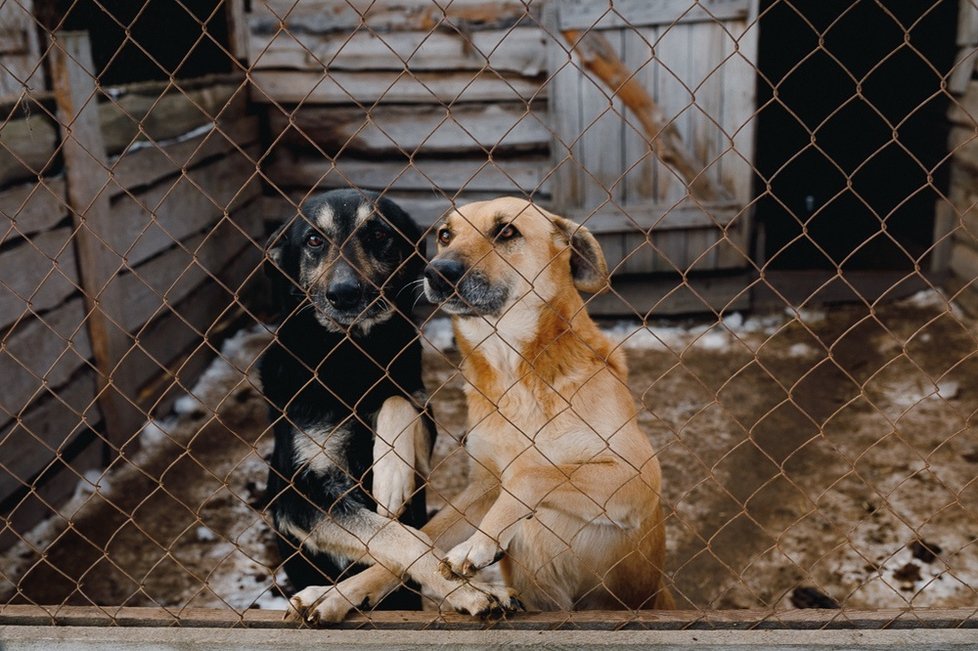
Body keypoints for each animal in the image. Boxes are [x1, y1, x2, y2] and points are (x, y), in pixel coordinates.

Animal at [264, 188, 434, 612]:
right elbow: (392, 535)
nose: (343, 294)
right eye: (313, 240)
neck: (350, 357)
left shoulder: (424, 419)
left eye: (378, 234)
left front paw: (390, 477)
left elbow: (396, 401)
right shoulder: (299, 498)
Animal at [290, 196, 672, 624]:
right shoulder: (482, 488)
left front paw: (479, 544)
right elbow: (415, 542)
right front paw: (337, 593)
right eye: (445, 235)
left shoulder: (638, 476)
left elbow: (531, 474)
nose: (436, 272)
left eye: (506, 231)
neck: (514, 375)